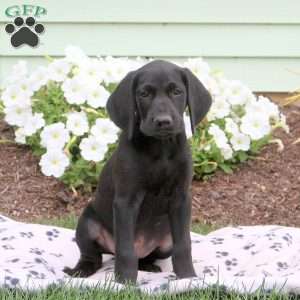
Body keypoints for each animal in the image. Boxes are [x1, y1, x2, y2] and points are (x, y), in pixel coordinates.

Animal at [64, 59, 212, 282]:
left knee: (147, 256)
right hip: (87, 223)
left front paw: (188, 278)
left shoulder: (181, 197)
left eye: (177, 91)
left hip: (165, 241)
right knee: (93, 255)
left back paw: (148, 266)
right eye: (144, 94)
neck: (160, 148)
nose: (163, 121)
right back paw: (81, 270)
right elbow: (125, 250)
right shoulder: (126, 200)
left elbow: (184, 245)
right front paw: (124, 282)